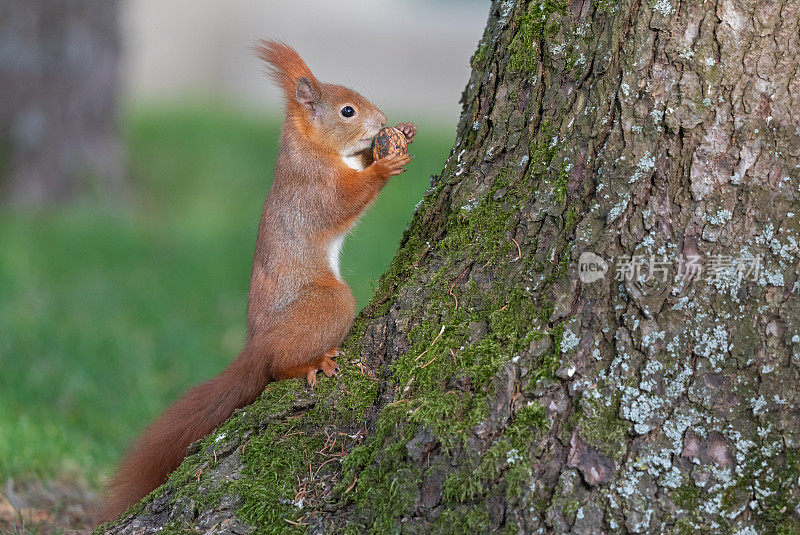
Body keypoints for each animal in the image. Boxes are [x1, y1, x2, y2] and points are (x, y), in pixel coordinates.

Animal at [98, 40, 418, 524]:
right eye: (347, 110)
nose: (382, 121)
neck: (309, 150)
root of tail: (256, 346)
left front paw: (398, 139)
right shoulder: (314, 190)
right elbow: (345, 200)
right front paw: (386, 165)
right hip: (328, 306)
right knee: (276, 369)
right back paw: (309, 364)